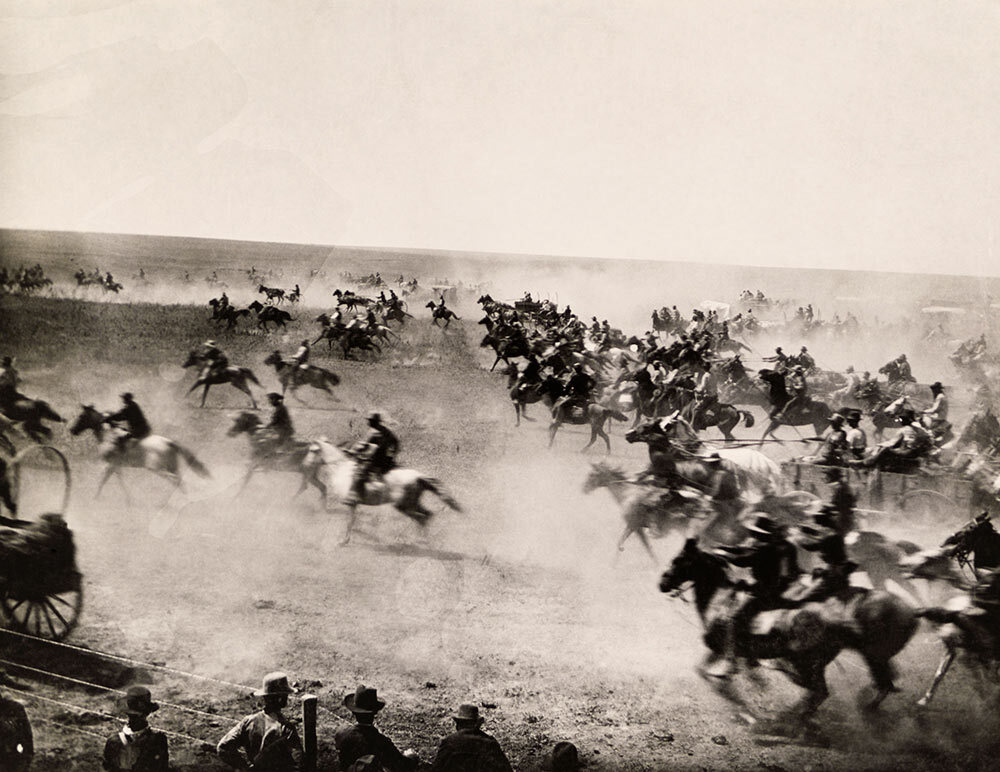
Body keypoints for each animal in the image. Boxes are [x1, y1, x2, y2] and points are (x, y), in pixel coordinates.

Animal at [71, 404, 213, 500]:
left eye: (81, 416)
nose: (73, 430)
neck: (107, 435)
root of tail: (169, 442)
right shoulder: (115, 466)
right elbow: (117, 481)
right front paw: (129, 500)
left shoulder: (111, 465)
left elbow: (103, 481)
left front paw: (95, 499)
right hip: (172, 467)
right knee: (178, 480)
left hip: (157, 469)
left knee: (177, 480)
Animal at [302, 440, 462, 544]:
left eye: (312, 450)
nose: (305, 464)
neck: (341, 469)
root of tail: (418, 476)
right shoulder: (354, 504)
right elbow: (352, 521)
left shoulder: (351, 503)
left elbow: (349, 521)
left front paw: (343, 541)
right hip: (411, 504)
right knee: (426, 515)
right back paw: (421, 540)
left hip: (403, 505)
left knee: (422, 517)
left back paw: (419, 540)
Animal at [660, 540, 916, 720]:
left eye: (679, 560)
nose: (662, 583)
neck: (719, 598)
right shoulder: (725, 651)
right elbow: (709, 668)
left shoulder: (725, 646)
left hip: (823, 661)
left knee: (826, 690)